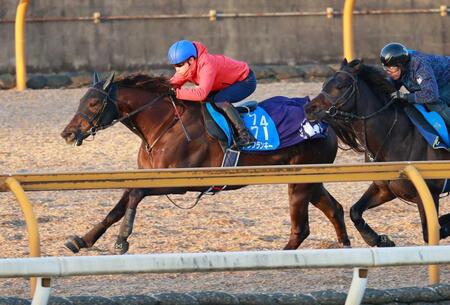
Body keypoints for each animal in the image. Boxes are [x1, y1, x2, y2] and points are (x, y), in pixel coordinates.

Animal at [59, 72, 350, 253]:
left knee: (301, 229)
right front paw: (82, 240)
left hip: (299, 182)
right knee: (335, 209)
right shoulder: (148, 175)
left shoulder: (179, 183)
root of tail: (324, 118)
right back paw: (346, 248)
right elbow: (119, 205)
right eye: (81, 100)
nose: (67, 133)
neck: (165, 124)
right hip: (309, 179)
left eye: (93, 102)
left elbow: (135, 196)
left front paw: (122, 239)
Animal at [302, 59, 450, 247]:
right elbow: (355, 211)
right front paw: (378, 239)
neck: (395, 137)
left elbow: (429, 231)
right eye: (324, 84)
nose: (309, 108)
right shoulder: (384, 189)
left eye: (341, 86)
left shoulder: (429, 193)